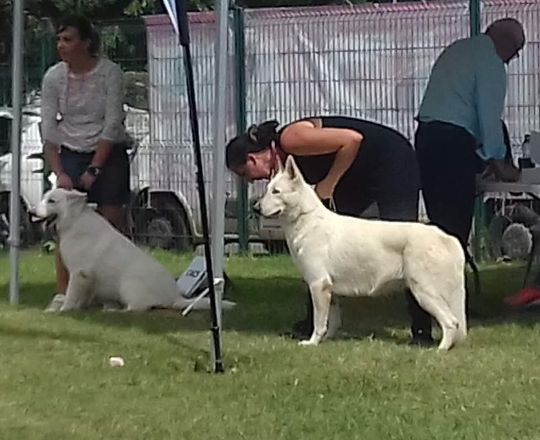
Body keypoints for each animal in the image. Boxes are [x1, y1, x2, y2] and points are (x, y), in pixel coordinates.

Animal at [32, 189, 233, 312]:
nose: (32, 212)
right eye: (43, 198)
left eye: (52, 201)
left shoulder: (79, 274)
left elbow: (70, 297)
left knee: (138, 308)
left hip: (127, 285)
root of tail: (175, 297)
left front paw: (63, 310)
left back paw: (114, 311)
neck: (74, 221)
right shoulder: (86, 279)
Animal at [255, 155, 466, 350]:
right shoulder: (331, 292)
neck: (306, 218)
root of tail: (447, 237)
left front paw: (312, 343)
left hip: (424, 292)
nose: (255, 208)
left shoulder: (318, 285)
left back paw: (441, 349)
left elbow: (319, 323)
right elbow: (331, 322)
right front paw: (327, 340)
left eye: (276, 191)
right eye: (267, 190)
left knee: (451, 322)